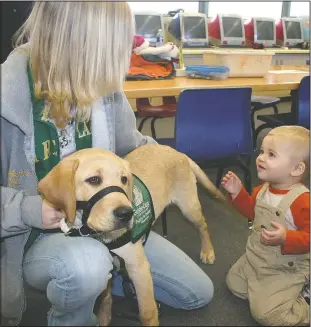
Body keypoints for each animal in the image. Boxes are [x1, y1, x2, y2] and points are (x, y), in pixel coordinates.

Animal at [38, 145, 224, 327]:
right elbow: (106, 297)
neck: (98, 234)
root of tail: (176, 151)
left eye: (124, 179)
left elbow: (147, 313)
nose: (126, 214)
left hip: (189, 208)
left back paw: (208, 251)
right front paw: (104, 317)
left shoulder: (139, 268)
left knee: (203, 226)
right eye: (94, 180)